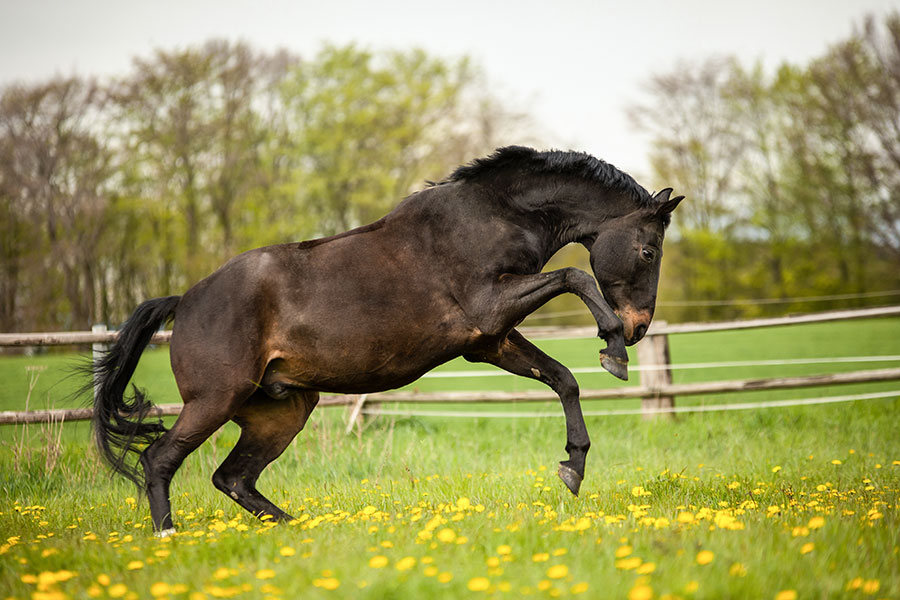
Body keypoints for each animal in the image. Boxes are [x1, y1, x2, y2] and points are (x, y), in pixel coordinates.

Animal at [89, 146, 682, 536]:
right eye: (649, 250)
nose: (638, 327)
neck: (492, 218)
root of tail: (184, 300)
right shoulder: (491, 308)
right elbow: (575, 277)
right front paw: (612, 349)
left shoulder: (488, 341)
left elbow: (563, 379)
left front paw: (573, 467)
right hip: (216, 399)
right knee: (160, 460)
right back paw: (168, 535)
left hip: (280, 412)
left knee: (232, 477)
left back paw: (299, 528)